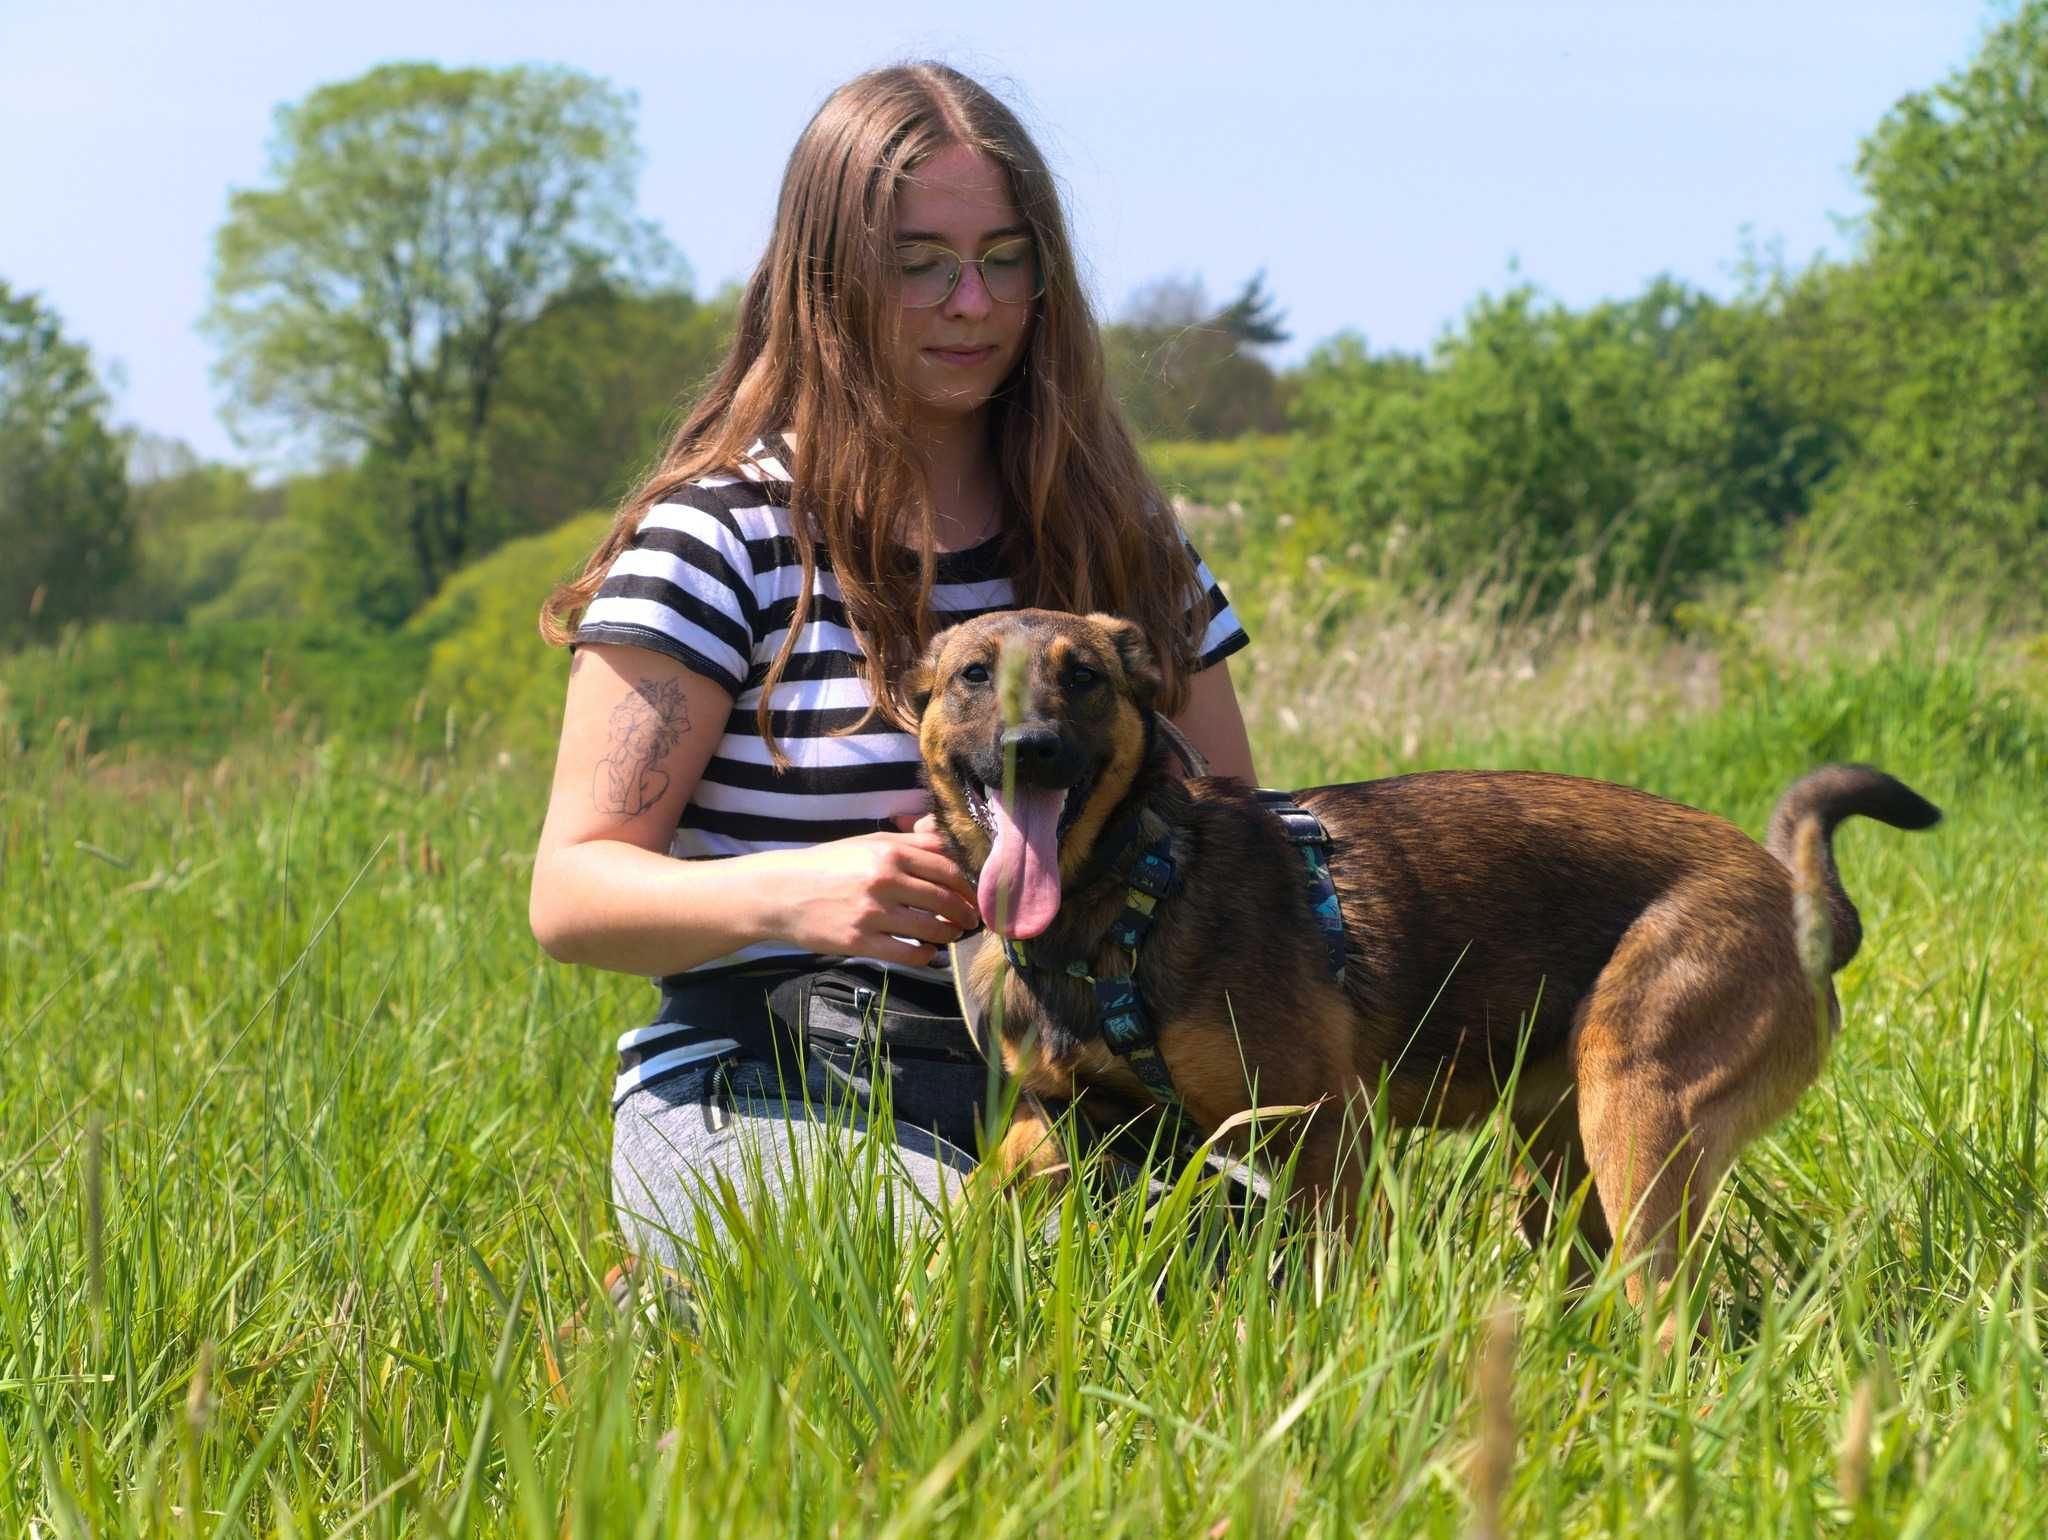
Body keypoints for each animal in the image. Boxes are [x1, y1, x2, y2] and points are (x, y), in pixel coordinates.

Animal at [913, 606, 1933, 1318]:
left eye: (1084, 676)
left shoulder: (1325, 1130)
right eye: (973, 676)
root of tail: (1799, 900)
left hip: (1638, 1110)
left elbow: (1325, 1283)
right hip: (1555, 1161)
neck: (1134, 888)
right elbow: (971, 1216)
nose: (1031, 750)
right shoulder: (1060, 1125)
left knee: (1669, 1314)